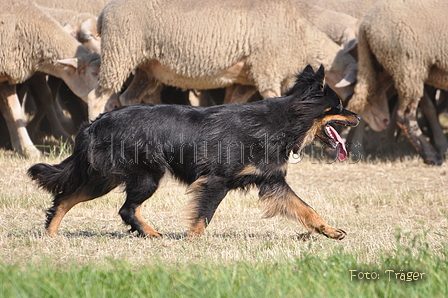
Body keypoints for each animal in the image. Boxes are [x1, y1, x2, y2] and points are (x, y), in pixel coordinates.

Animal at [0, 0, 100, 157]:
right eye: (94, 73)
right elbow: (16, 112)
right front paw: (30, 149)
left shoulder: (8, 76)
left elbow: (12, 112)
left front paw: (19, 145)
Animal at [28, 66, 358, 240]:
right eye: (339, 107)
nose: (356, 117)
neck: (278, 123)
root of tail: (94, 123)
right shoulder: (216, 181)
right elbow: (203, 215)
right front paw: (194, 242)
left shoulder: (272, 182)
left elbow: (307, 209)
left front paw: (330, 231)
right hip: (145, 176)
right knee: (125, 209)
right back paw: (152, 234)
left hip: (105, 177)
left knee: (65, 198)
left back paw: (51, 234)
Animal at [89, 0, 358, 118]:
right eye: (353, 86)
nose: (353, 113)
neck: (301, 38)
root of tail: (103, 13)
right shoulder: (266, 69)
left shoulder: (245, 81)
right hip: (119, 52)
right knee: (97, 96)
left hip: (147, 68)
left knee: (127, 97)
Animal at [346, 0, 448, 165]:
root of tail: (365, 24)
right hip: (409, 66)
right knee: (405, 116)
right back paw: (432, 156)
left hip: (380, 67)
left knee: (367, 100)